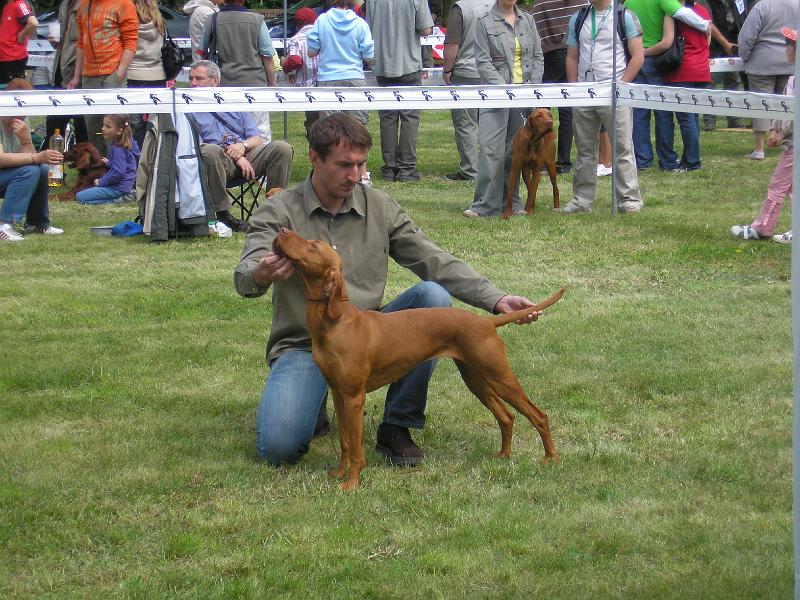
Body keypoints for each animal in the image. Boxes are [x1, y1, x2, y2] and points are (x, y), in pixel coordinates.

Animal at [276, 227, 564, 490]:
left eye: (313, 245)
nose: (282, 230)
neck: (334, 323)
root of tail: (485, 322)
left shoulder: (354, 397)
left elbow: (356, 447)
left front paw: (352, 482)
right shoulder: (338, 393)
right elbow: (346, 441)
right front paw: (339, 473)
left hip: (500, 376)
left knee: (538, 415)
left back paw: (551, 458)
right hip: (476, 379)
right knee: (506, 416)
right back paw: (504, 454)